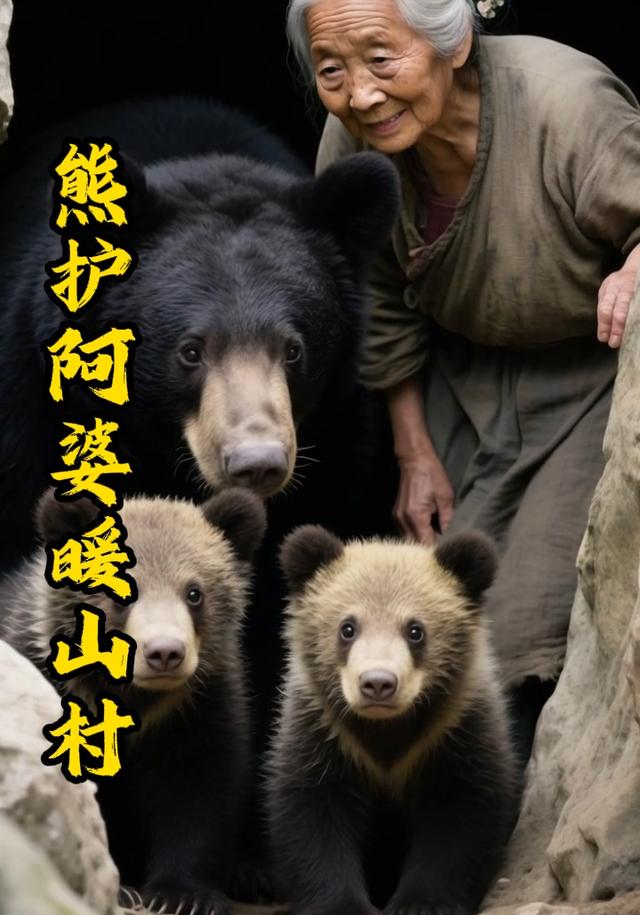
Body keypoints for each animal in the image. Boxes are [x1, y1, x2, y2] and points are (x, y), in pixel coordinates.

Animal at [0, 485, 267, 915]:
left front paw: (182, 896)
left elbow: (199, 788)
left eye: (195, 593)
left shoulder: (196, 704)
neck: (133, 697)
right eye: (120, 595)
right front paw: (122, 887)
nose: (165, 653)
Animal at [267, 525, 519, 915]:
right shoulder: (323, 728)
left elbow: (461, 814)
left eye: (415, 630)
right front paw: (343, 905)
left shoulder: (457, 727)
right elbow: (313, 813)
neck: (385, 728)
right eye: (347, 628)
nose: (378, 683)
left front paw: (422, 903)